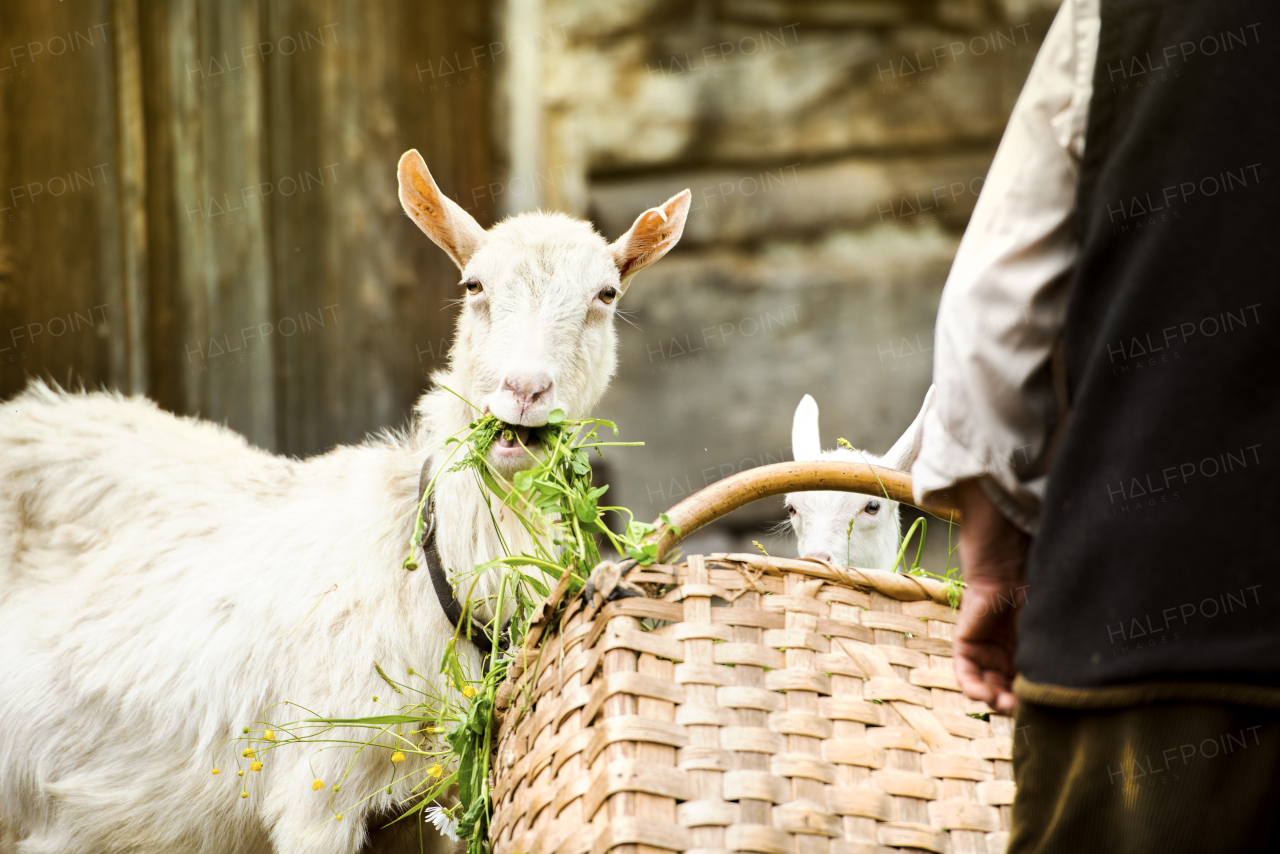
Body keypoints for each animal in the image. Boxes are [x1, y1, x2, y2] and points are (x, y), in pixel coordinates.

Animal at [0, 151, 691, 854]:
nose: (525, 390)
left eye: (605, 296)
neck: (422, 563)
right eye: (473, 285)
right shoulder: (316, 786)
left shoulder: (447, 796)